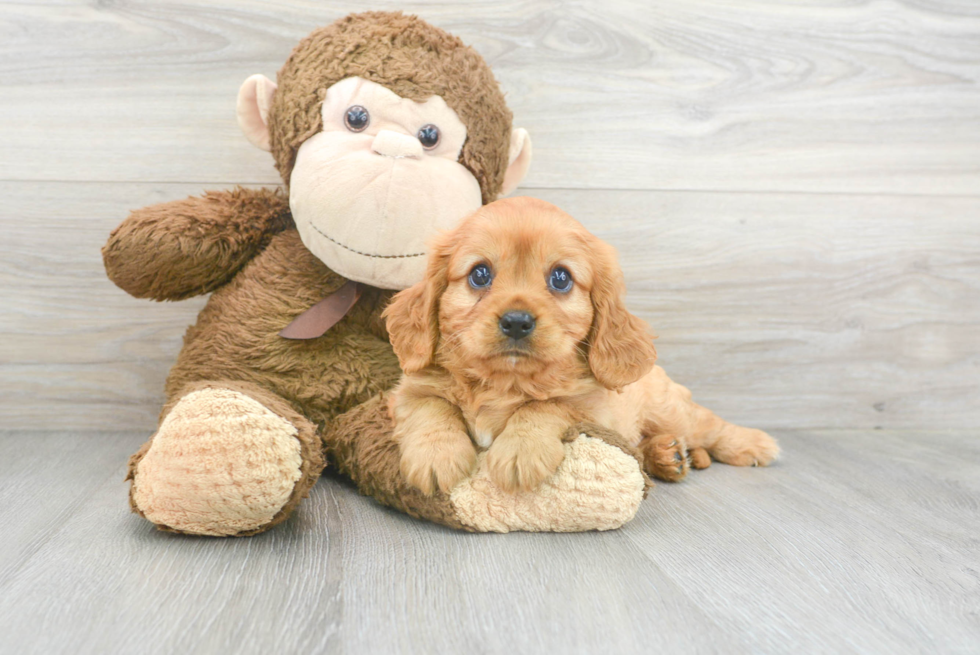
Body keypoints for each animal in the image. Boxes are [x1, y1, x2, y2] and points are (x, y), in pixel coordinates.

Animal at [386, 197, 776, 494]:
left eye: (561, 278)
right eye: (479, 274)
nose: (517, 322)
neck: (505, 382)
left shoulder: (592, 409)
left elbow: (546, 405)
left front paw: (519, 451)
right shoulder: (407, 392)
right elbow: (433, 406)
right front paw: (436, 456)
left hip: (671, 412)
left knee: (709, 425)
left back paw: (753, 443)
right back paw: (668, 456)